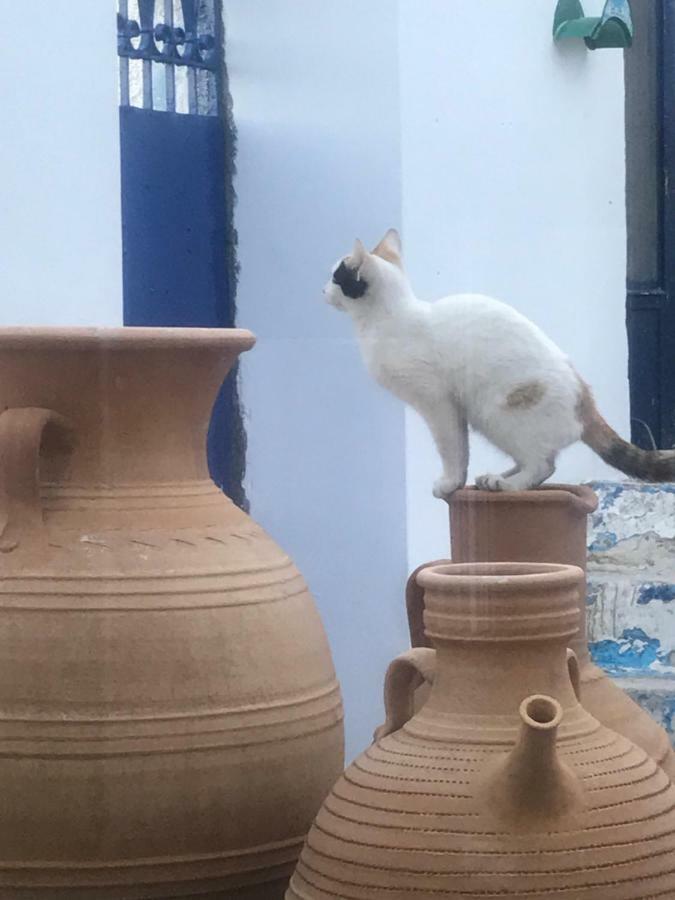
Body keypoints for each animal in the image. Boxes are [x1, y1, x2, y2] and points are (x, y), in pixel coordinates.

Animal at [324, 229, 675, 496]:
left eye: (335, 276)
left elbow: (453, 449)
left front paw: (450, 483)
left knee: (542, 465)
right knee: (534, 460)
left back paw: (506, 485)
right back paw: (497, 476)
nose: (322, 289)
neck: (388, 319)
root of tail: (584, 399)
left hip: (496, 413)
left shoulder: (439, 404)